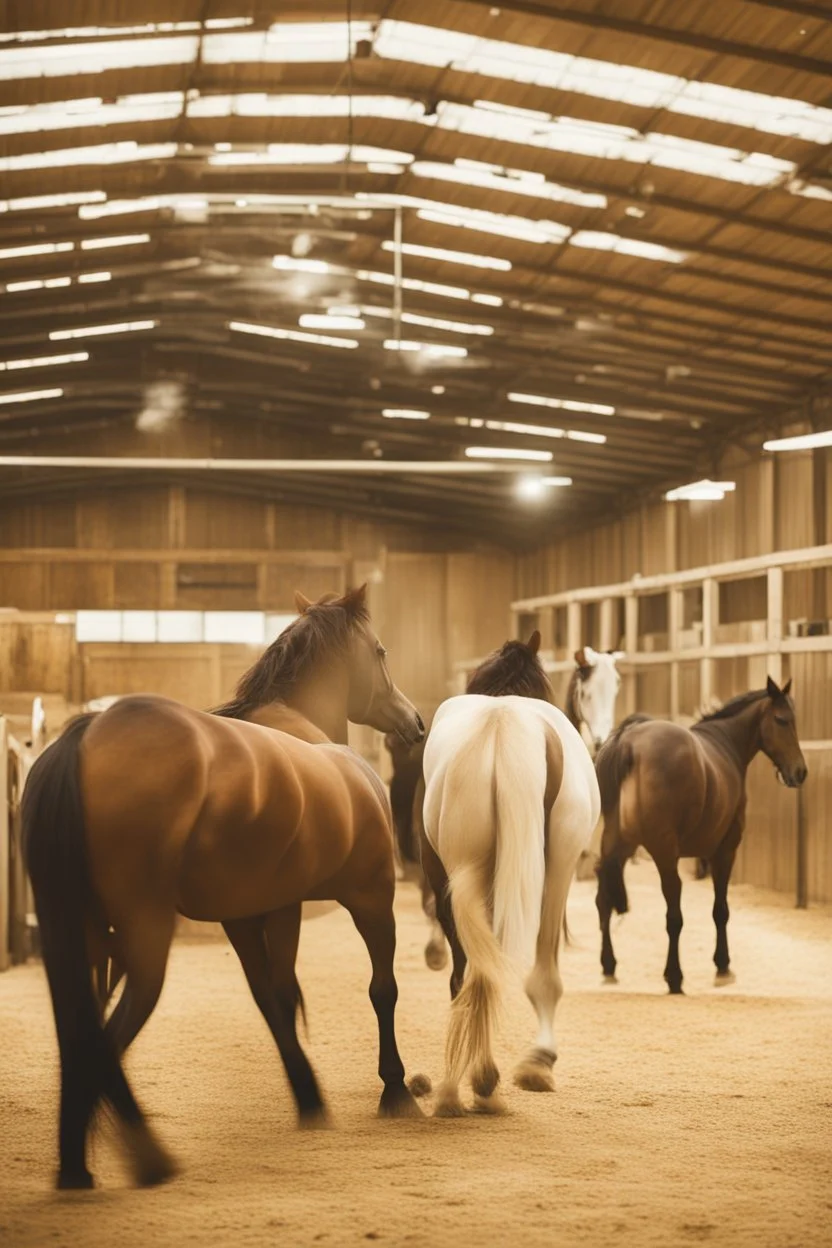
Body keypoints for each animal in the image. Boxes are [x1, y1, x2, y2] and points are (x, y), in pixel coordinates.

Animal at [22, 584, 426, 1188]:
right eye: (379, 651)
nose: (415, 722)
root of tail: (83, 735)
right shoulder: (371, 899)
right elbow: (381, 989)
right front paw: (395, 1088)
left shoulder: (258, 912)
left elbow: (274, 999)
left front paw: (310, 1099)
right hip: (144, 938)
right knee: (103, 1040)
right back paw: (144, 1157)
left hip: (81, 938)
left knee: (81, 1036)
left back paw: (78, 1166)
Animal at [424, 633, 598, 1113]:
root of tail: (504, 726)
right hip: (554, 871)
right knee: (525, 973)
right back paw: (518, 1070)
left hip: (467, 873)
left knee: (473, 972)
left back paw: (470, 1084)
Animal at [596, 678, 808, 988]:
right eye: (782, 720)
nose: (800, 771)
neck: (725, 744)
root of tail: (628, 743)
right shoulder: (725, 850)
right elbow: (720, 910)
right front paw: (722, 965)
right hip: (663, 852)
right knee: (673, 909)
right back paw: (674, 976)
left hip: (617, 847)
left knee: (604, 901)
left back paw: (609, 966)